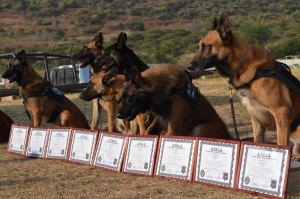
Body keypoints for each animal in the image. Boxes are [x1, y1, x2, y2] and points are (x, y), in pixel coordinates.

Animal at [188, 12, 300, 159]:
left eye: (206, 46)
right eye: (199, 46)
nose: (188, 67)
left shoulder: (281, 115)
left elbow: (281, 144)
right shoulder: (256, 118)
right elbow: (257, 141)